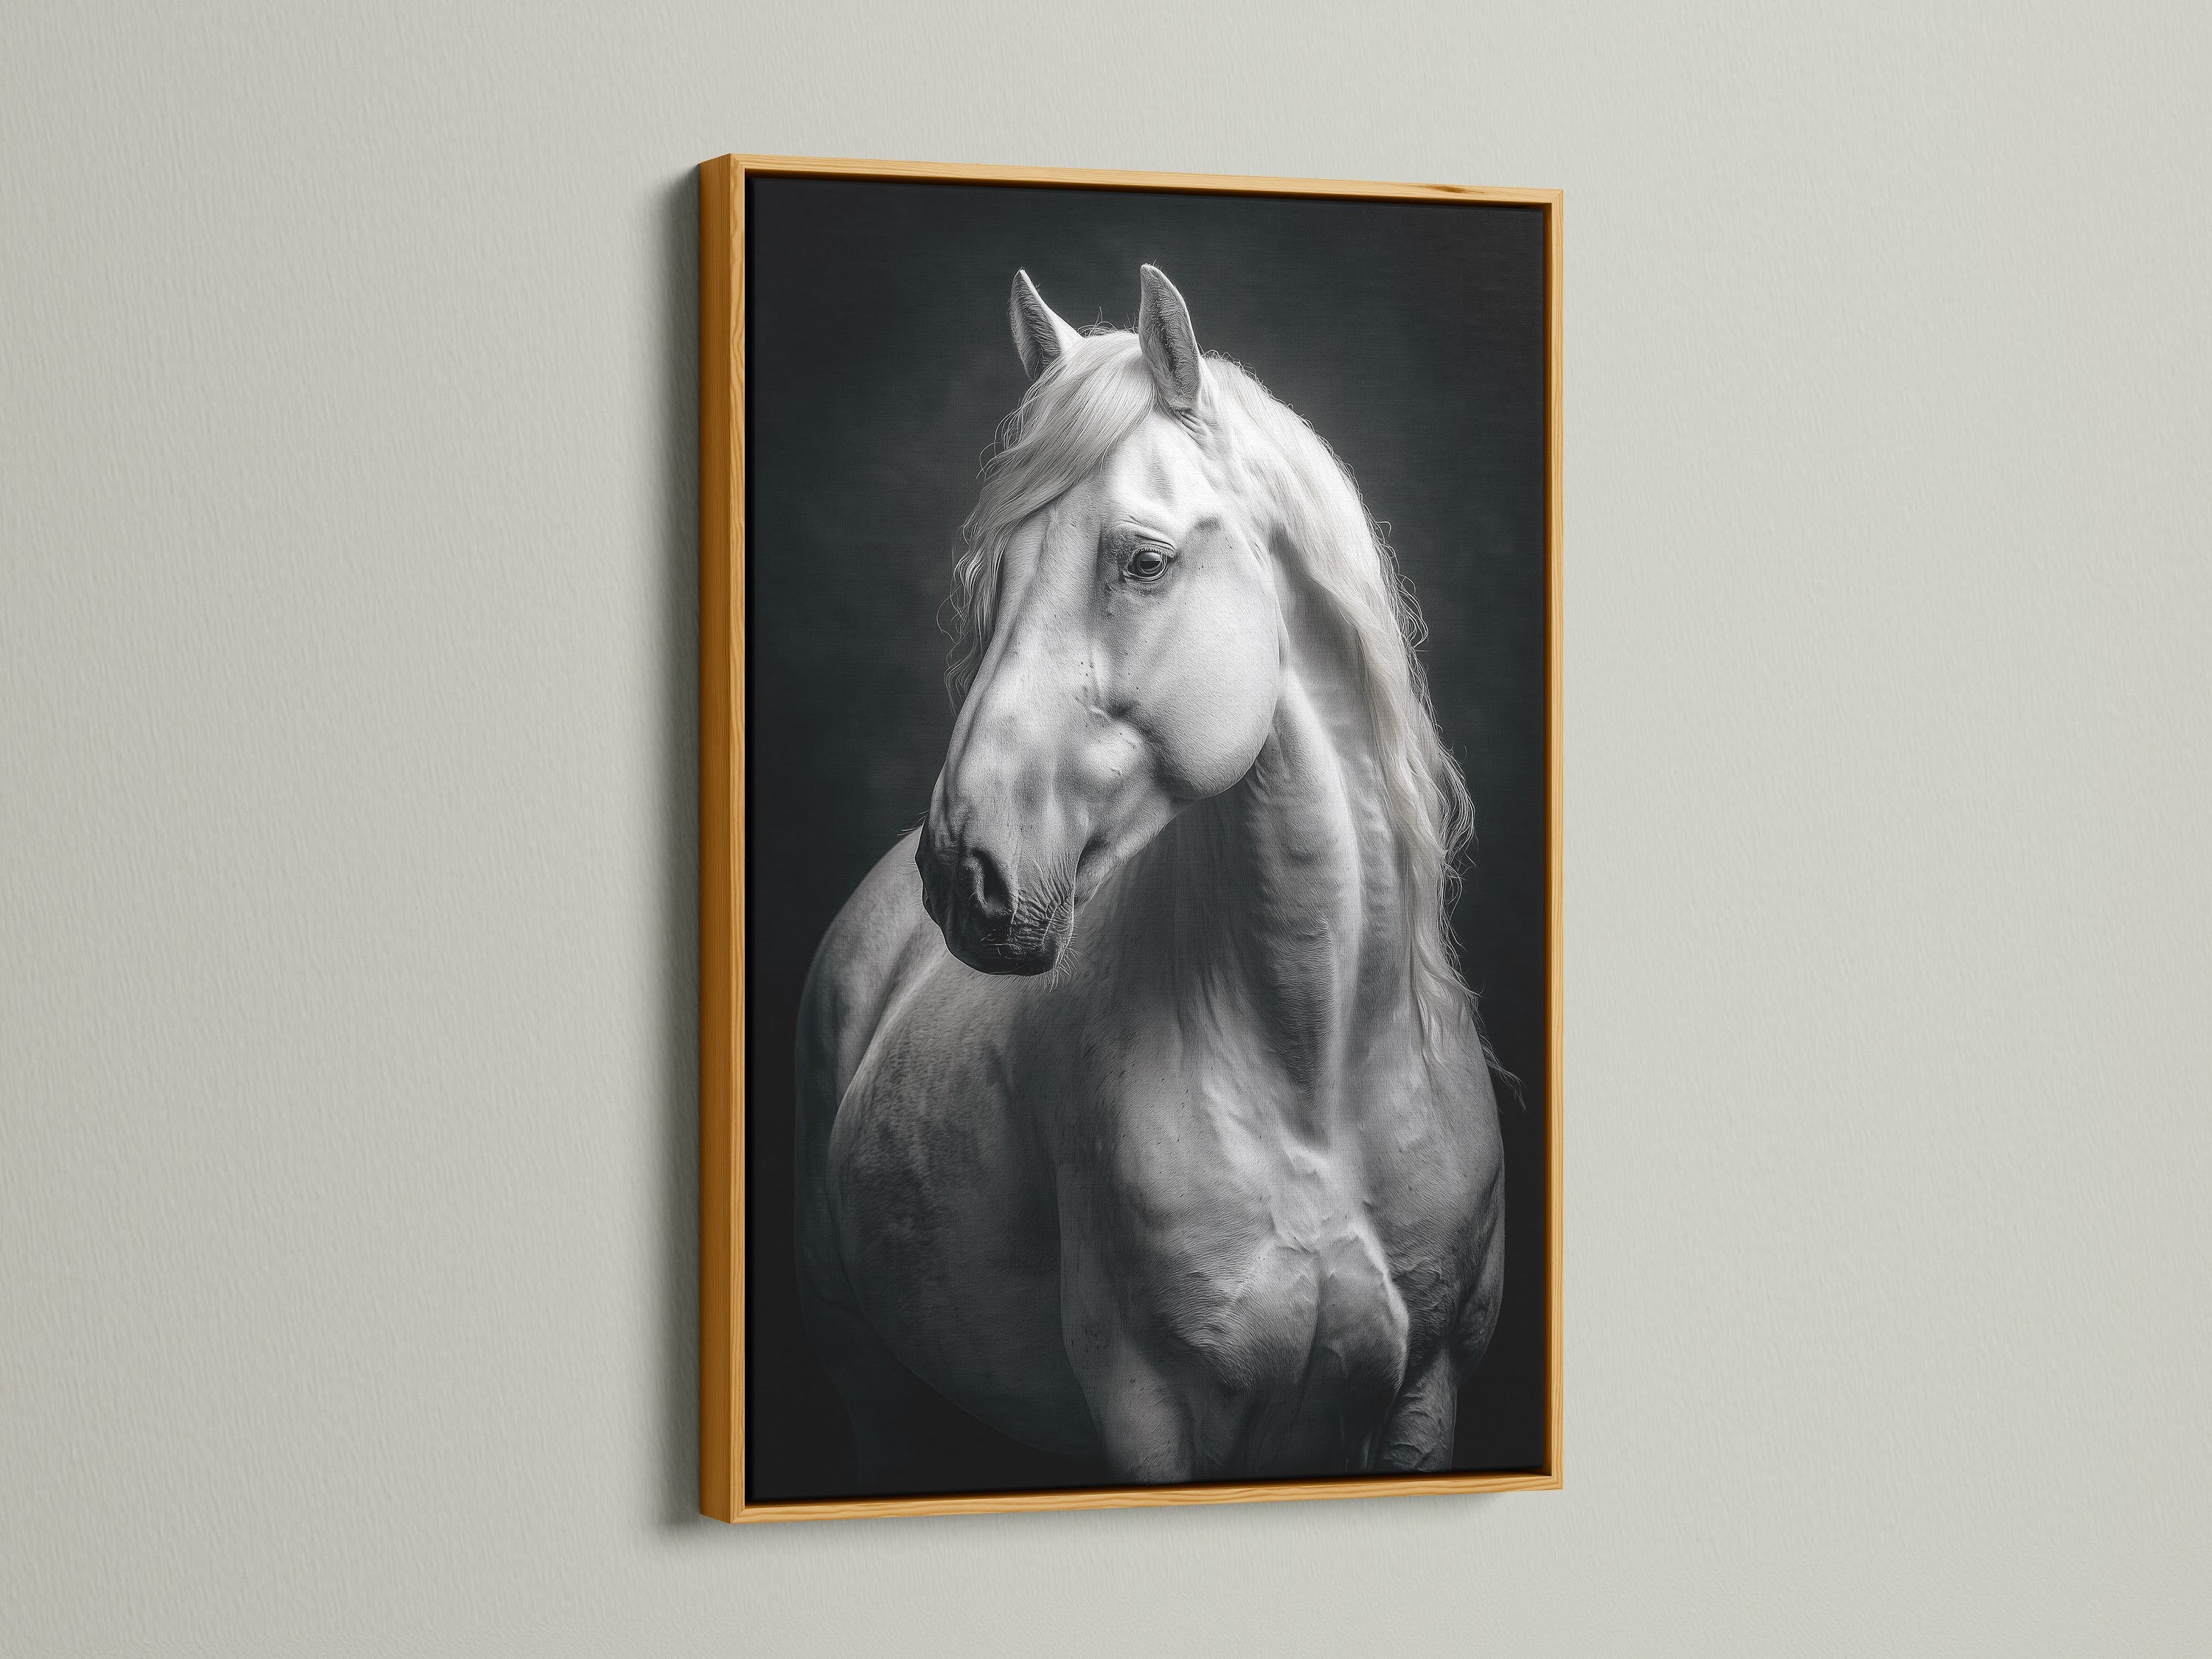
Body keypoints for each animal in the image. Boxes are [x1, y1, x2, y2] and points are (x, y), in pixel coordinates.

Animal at [793, 265, 1504, 1489]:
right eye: (994, 572)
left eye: (1145, 561)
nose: (962, 874)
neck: (1319, 1068)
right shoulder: (1152, 1417)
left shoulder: (1427, 1395)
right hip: (871, 1380)